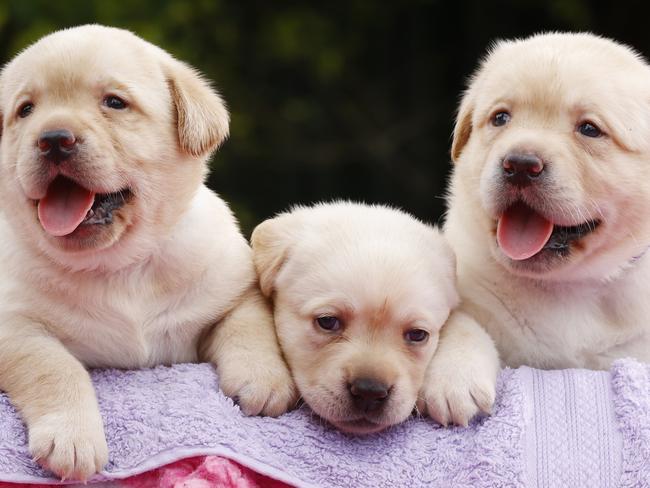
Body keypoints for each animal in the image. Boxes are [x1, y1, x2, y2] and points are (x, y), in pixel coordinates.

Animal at [0, 24, 296, 478]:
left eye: (114, 103)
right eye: (26, 110)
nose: (53, 139)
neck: (121, 266)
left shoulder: (233, 291)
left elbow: (249, 325)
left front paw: (263, 380)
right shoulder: (14, 326)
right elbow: (52, 367)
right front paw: (72, 438)